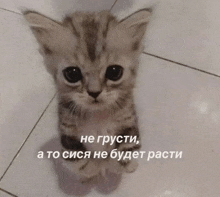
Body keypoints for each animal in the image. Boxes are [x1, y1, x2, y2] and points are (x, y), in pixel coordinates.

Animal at [23, 8, 151, 182]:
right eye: (72, 74)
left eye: (114, 71)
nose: (94, 92)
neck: (97, 116)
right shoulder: (67, 135)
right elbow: (78, 161)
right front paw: (93, 170)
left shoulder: (129, 124)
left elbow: (122, 154)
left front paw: (113, 166)